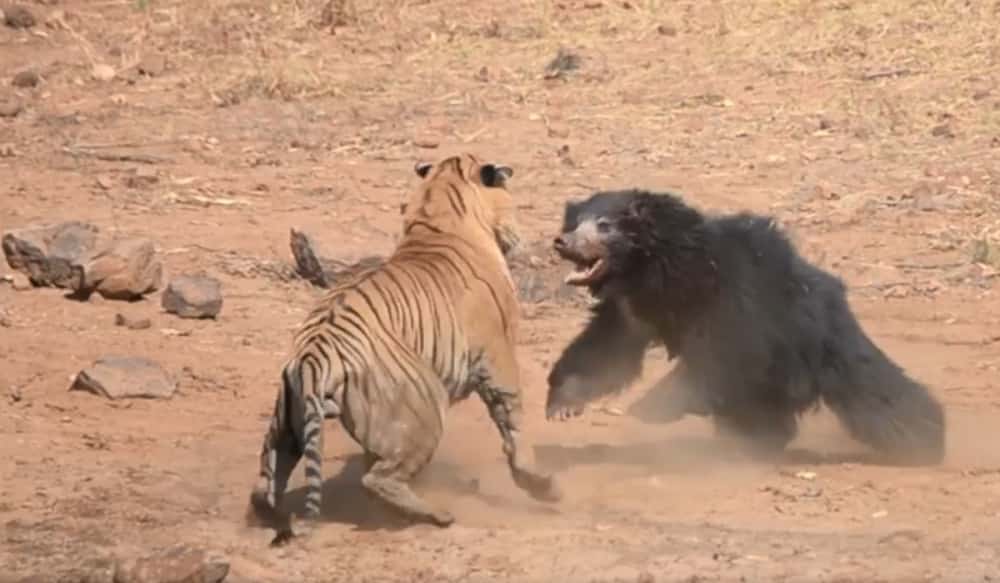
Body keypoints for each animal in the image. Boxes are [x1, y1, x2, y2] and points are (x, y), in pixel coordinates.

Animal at [249, 153, 562, 545]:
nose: (520, 236)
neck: (437, 214)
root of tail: (316, 350)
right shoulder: (498, 355)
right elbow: (513, 418)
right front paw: (540, 484)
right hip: (424, 407)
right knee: (378, 479)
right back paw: (437, 515)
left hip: (286, 425)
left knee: (264, 486)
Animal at [544, 188, 946, 465]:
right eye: (575, 224)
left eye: (604, 226)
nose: (562, 242)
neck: (655, 269)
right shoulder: (631, 307)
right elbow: (609, 347)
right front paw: (562, 403)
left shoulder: (731, 298)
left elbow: (721, 353)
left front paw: (650, 406)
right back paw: (754, 441)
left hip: (815, 343)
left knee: (877, 393)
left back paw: (927, 441)